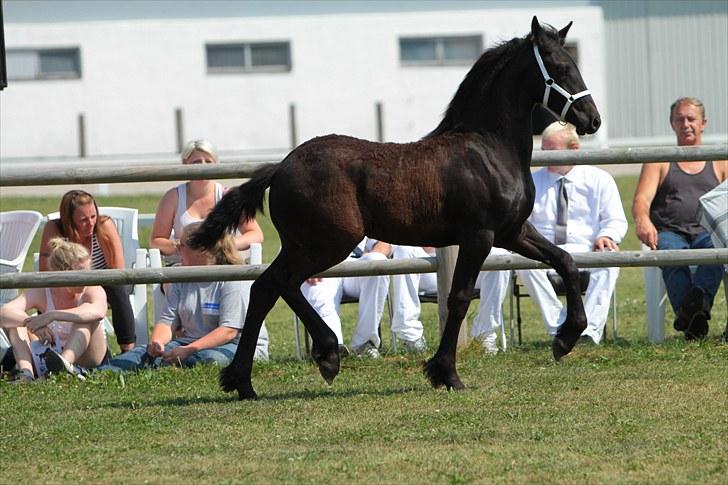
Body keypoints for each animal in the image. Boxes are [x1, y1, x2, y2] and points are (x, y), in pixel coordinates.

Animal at [191, 17, 600, 398]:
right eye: (560, 66)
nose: (592, 119)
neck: (488, 149)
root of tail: (281, 167)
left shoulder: (513, 232)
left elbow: (565, 260)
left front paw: (565, 340)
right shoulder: (479, 237)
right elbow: (459, 298)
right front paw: (446, 373)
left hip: (300, 244)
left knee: (266, 287)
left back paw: (246, 380)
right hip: (329, 244)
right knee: (282, 283)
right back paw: (323, 356)